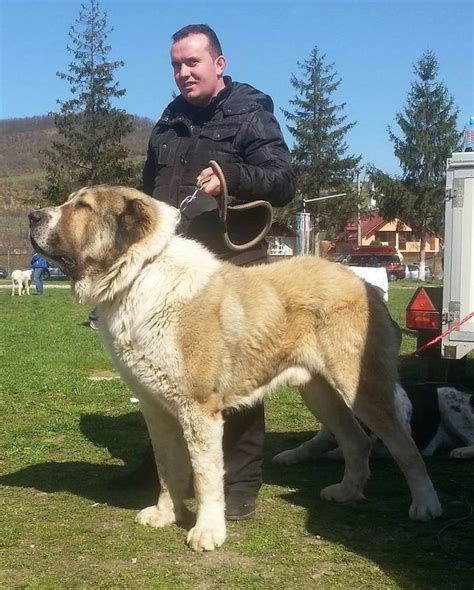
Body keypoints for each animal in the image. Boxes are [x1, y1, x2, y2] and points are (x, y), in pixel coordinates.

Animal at [274, 386, 474, 470]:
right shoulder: (327, 434)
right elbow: (307, 447)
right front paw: (287, 456)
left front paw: (336, 453)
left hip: (451, 406)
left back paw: (461, 452)